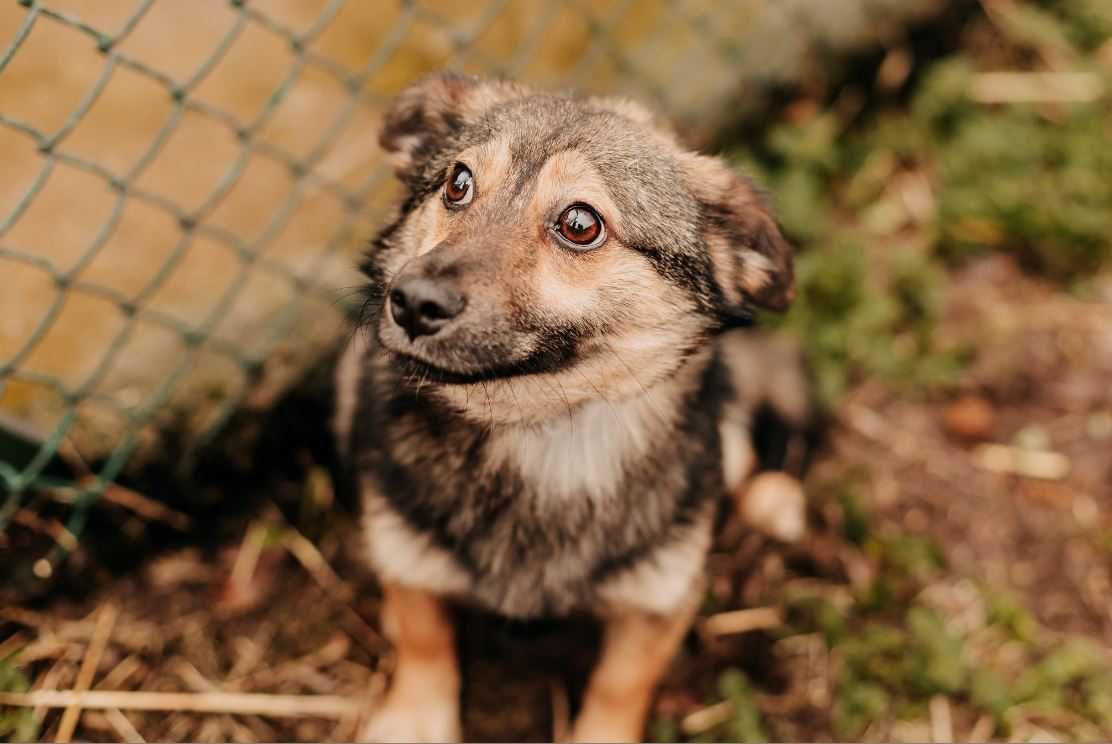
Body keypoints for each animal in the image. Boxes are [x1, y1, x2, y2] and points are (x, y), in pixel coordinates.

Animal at [329, 71, 809, 742]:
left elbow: (620, 685)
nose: (413, 302)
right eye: (457, 184)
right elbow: (425, 643)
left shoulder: (659, 599)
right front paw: (415, 719)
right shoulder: (407, 557)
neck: (543, 428)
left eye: (580, 224)